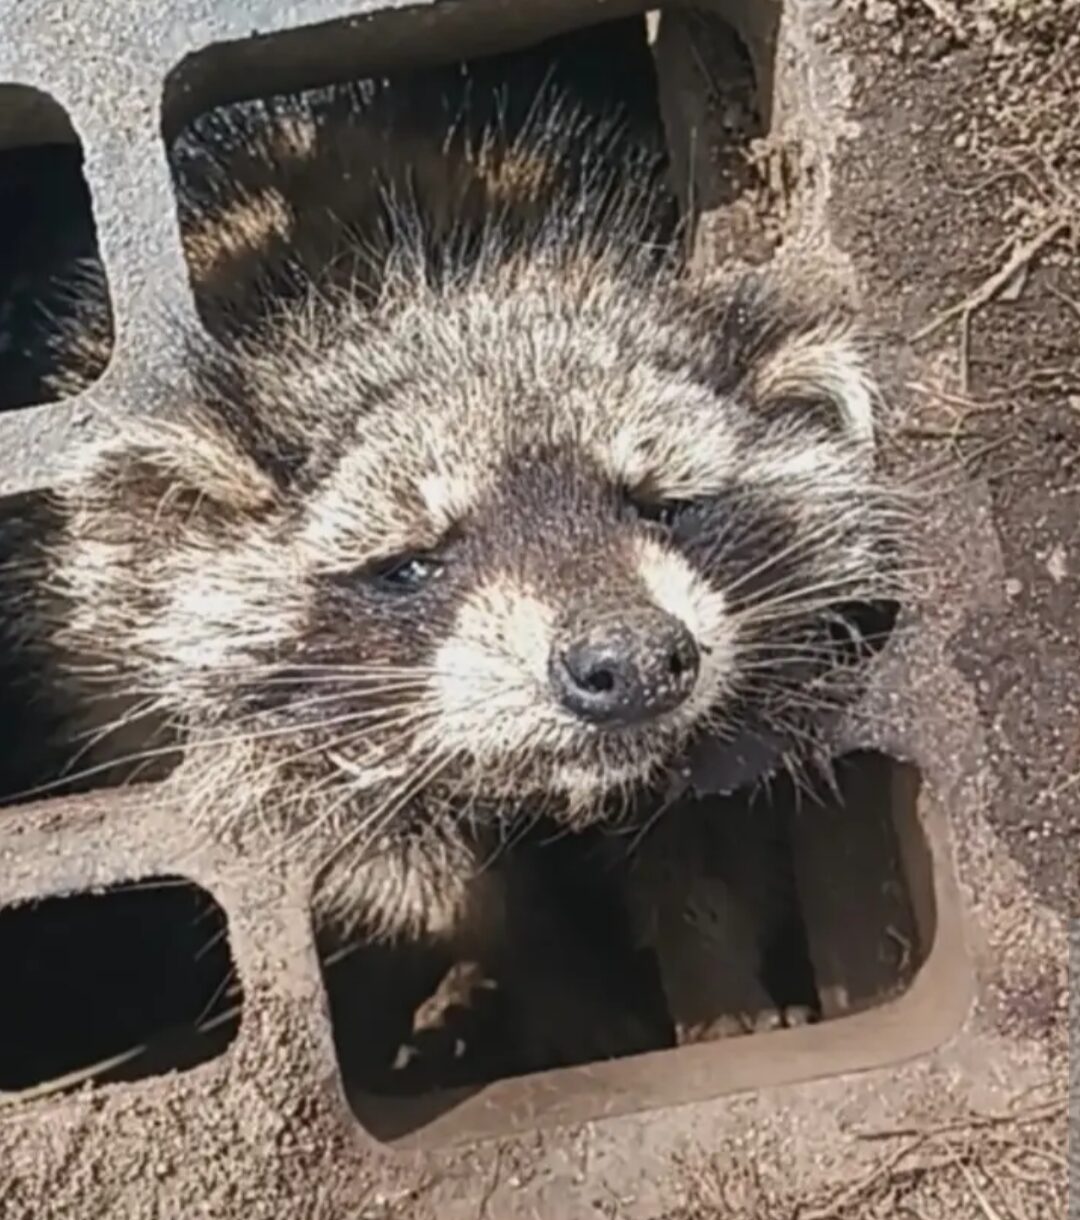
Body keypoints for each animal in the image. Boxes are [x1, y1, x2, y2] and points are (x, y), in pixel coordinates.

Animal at [1, 70, 910, 1071]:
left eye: (663, 505)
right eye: (411, 564)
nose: (630, 660)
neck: (444, 284)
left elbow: (709, 833)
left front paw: (713, 977)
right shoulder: (148, 701)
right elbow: (426, 889)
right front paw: (559, 987)